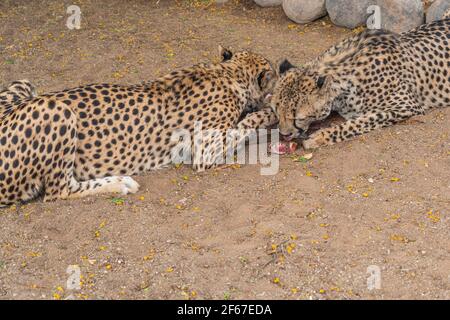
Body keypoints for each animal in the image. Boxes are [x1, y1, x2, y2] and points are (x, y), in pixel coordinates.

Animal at [0, 47, 278, 208]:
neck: (229, 73)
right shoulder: (205, 152)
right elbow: (245, 126)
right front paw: (268, 113)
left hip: (23, 84)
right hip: (56, 110)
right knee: (59, 191)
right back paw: (120, 182)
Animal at [268, 19, 448, 149]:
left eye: (299, 118)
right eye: (277, 112)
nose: (285, 134)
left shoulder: (406, 106)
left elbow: (361, 121)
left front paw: (320, 136)